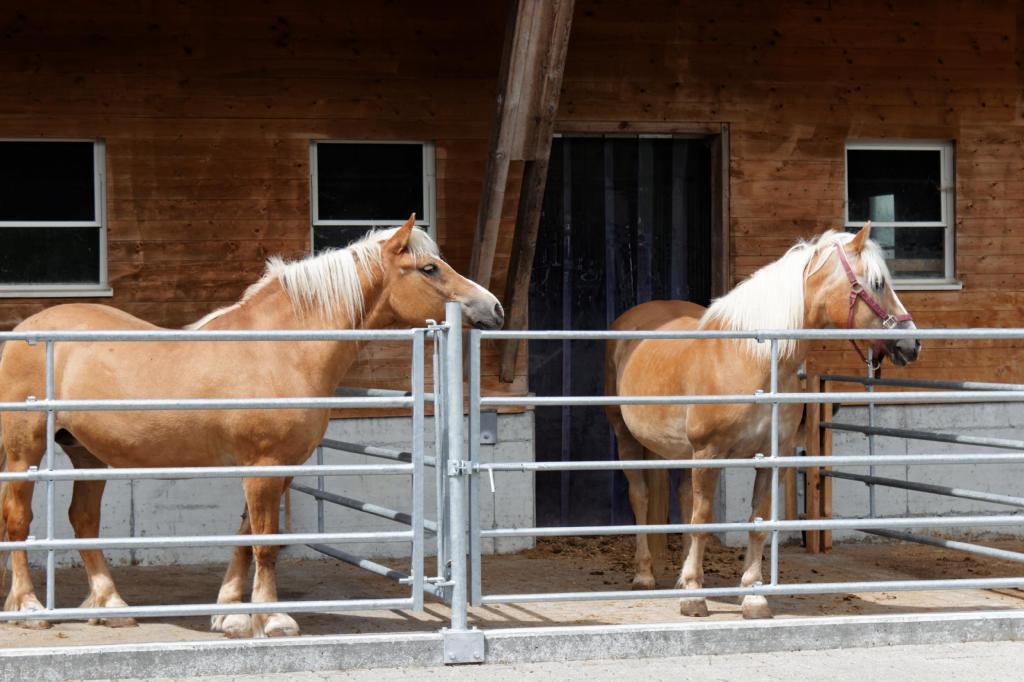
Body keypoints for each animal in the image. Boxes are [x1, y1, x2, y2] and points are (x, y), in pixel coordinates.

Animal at [0, 215, 503, 634]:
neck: (278, 347)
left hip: (87, 452)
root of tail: (27, 329)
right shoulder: (262, 466)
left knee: (84, 520)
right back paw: (28, 607)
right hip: (26, 451)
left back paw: (110, 605)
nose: (494, 308)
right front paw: (273, 618)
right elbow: (264, 543)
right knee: (19, 520)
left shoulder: (278, 469)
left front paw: (231, 614)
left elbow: (247, 537)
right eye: (430, 269)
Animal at [602, 225, 925, 618]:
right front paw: (694, 597)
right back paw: (645, 575)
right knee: (641, 498)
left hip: (677, 451)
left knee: (682, 499)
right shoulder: (708, 454)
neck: (750, 360)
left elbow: (756, 523)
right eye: (877, 283)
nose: (912, 344)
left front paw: (752, 596)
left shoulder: (772, 459)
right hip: (626, 438)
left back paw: (679, 577)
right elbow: (702, 521)